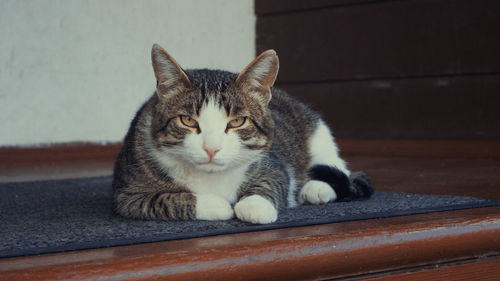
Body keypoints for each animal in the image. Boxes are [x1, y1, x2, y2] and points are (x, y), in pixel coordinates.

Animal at [112, 43, 372, 223]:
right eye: (187, 120)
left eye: (237, 122)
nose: (211, 148)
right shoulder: (127, 195)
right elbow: (165, 200)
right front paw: (216, 205)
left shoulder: (273, 166)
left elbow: (273, 182)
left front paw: (255, 206)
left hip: (317, 132)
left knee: (338, 168)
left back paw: (316, 188)